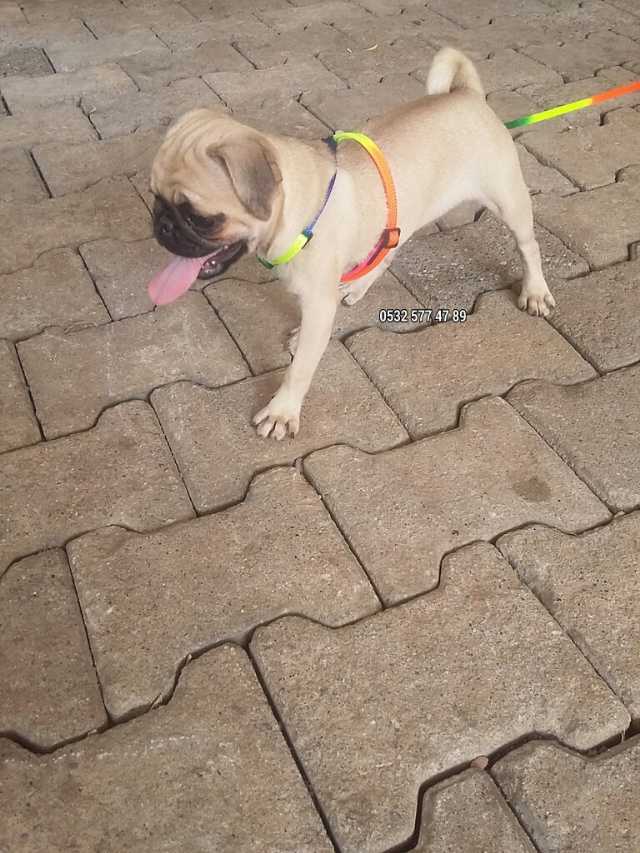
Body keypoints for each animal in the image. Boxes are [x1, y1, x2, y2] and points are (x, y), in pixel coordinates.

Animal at [149, 47, 555, 440]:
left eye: (201, 218)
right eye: (155, 197)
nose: (162, 225)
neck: (299, 209)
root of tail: (467, 94)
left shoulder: (318, 302)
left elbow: (300, 368)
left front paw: (283, 411)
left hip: (508, 200)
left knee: (529, 246)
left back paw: (535, 291)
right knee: (388, 252)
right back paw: (358, 286)